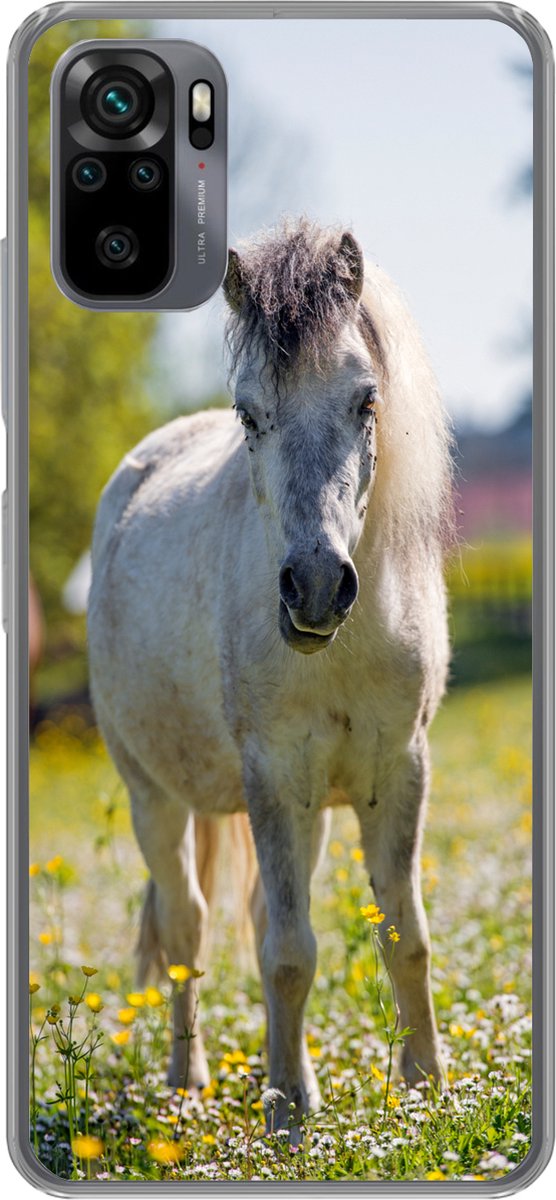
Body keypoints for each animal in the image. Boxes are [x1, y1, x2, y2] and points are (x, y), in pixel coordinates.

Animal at [87, 219, 453, 1133]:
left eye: (366, 400)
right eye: (249, 414)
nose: (316, 587)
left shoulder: (399, 771)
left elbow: (405, 935)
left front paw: (427, 1090)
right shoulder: (273, 778)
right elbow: (289, 952)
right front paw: (287, 1113)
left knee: (250, 919)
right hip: (155, 799)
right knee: (186, 929)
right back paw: (189, 1081)